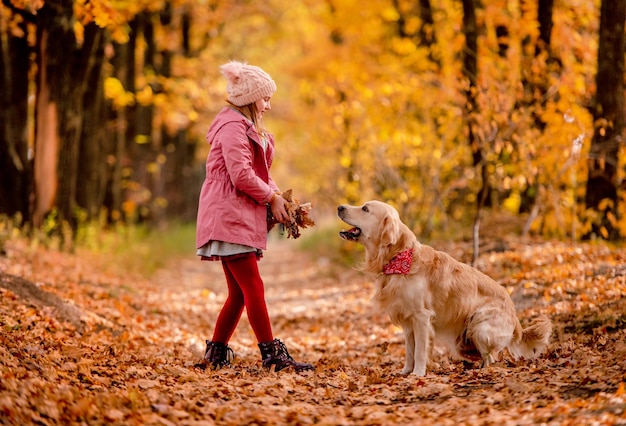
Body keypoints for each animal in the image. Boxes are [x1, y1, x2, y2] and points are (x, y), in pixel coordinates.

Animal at [336, 201, 552, 376]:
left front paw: (418, 374)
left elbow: (420, 351)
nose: (340, 207)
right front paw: (405, 372)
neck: (398, 257)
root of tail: (516, 317)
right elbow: (409, 351)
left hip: (479, 325)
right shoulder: (408, 320)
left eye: (365, 209)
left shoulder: (421, 317)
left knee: (492, 357)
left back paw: (482, 372)